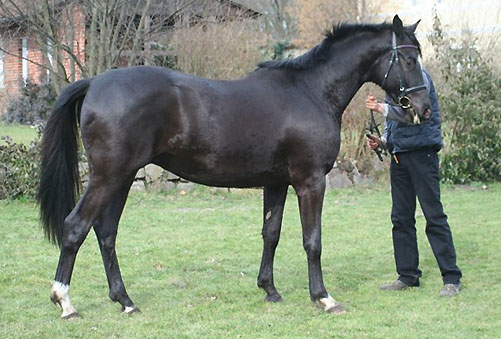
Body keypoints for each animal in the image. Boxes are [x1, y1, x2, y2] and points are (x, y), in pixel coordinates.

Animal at [39, 15, 430, 318]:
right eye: (410, 60)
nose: (423, 108)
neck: (311, 91)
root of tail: (95, 82)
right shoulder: (310, 181)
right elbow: (312, 240)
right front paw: (323, 297)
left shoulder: (277, 183)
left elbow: (271, 233)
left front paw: (269, 289)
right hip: (108, 177)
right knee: (75, 227)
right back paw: (65, 302)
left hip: (121, 180)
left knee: (106, 233)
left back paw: (125, 301)